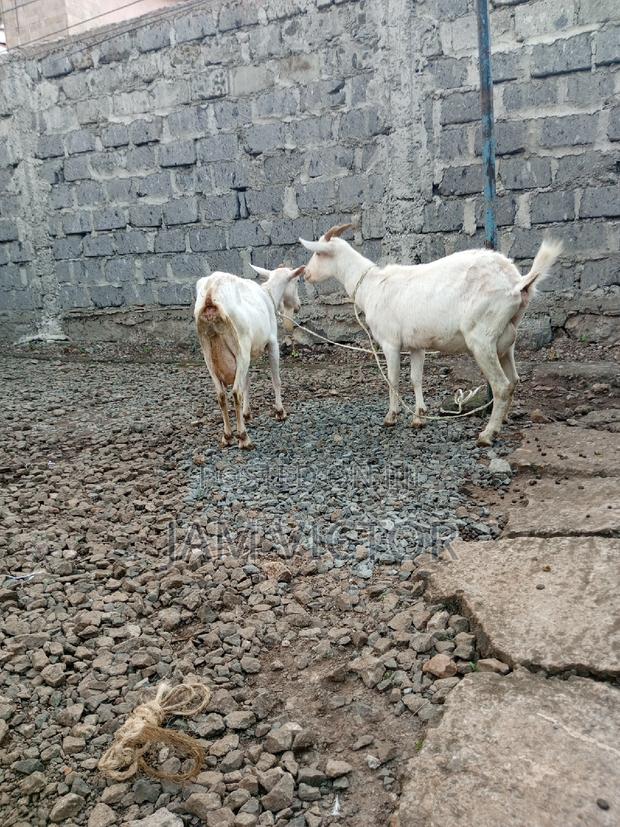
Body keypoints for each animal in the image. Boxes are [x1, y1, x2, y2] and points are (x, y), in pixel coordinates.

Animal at [194, 264, 304, 449]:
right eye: (296, 281)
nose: (298, 306)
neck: (269, 294)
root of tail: (210, 293)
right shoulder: (272, 343)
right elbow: (276, 380)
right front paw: (280, 412)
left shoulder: (248, 354)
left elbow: (246, 382)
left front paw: (246, 414)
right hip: (240, 347)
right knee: (235, 392)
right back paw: (244, 438)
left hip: (209, 354)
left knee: (221, 394)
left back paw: (227, 436)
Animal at [300, 224, 562, 445]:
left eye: (318, 254)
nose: (306, 274)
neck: (372, 285)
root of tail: (517, 283)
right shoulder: (417, 344)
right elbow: (416, 378)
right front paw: (419, 417)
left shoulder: (389, 342)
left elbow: (393, 379)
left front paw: (391, 416)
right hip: (506, 339)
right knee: (514, 380)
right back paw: (502, 421)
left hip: (482, 338)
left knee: (501, 385)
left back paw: (487, 434)